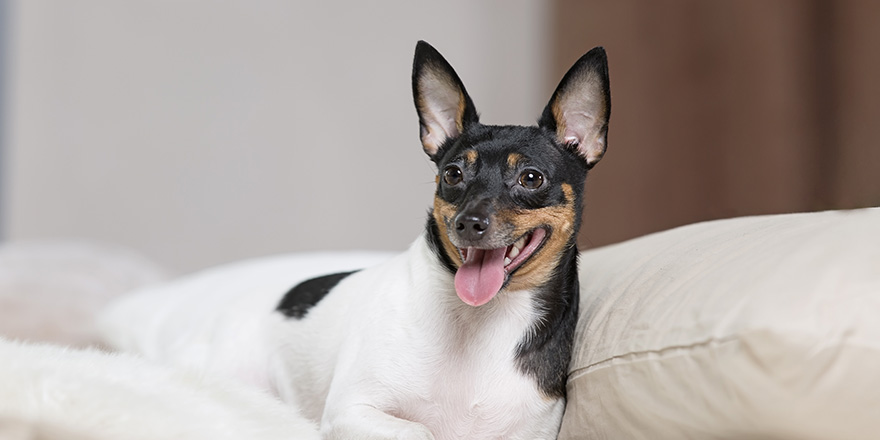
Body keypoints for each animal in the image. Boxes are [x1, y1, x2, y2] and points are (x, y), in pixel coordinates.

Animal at [99, 41, 608, 440]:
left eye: (531, 178)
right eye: (452, 175)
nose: (468, 223)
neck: (481, 322)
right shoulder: (353, 413)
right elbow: (421, 430)